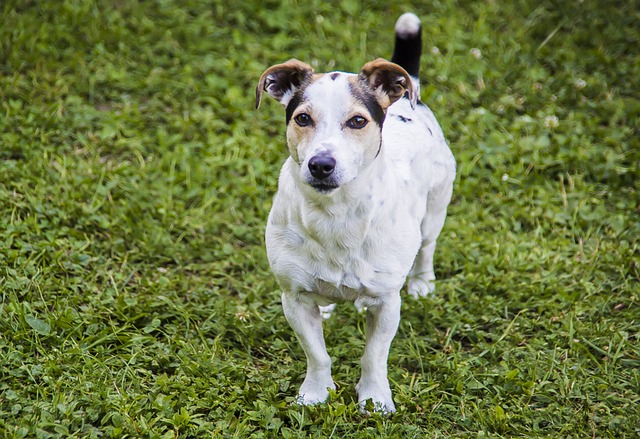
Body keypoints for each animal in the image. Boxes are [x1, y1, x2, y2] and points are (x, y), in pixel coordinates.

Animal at [255, 12, 456, 412]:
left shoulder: (387, 303)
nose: (321, 165)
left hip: (435, 210)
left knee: (426, 248)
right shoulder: (293, 299)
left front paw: (375, 399)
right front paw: (315, 393)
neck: (335, 215)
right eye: (302, 118)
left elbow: (374, 357)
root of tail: (410, 98)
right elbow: (317, 354)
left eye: (358, 121)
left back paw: (422, 282)